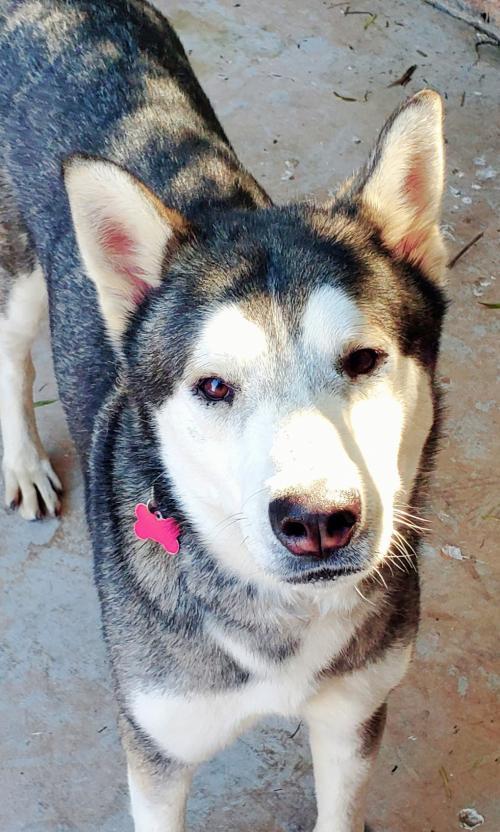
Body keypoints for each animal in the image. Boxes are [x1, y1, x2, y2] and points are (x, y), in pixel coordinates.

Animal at [0, 1, 446, 832]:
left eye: (364, 360)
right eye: (213, 386)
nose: (318, 521)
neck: (279, 616)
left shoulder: (354, 716)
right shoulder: (155, 747)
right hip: (17, 267)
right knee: (12, 350)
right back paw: (24, 462)